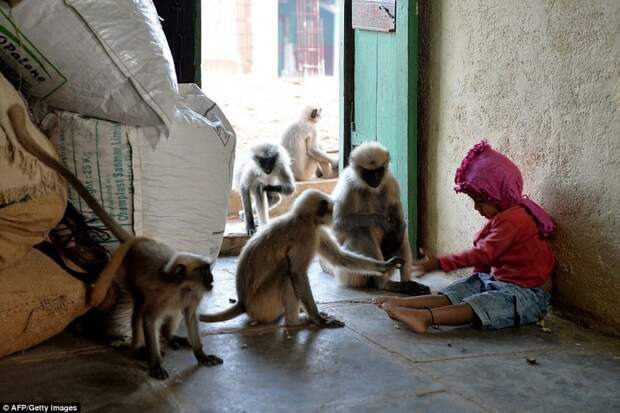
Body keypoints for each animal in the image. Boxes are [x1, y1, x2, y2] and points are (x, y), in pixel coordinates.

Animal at [7, 104, 223, 380]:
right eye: (205, 271)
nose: (211, 279)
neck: (182, 286)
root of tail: (135, 242)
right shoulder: (165, 293)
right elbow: (149, 318)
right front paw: (154, 362)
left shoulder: (190, 296)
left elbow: (190, 318)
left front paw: (201, 354)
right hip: (126, 276)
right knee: (139, 309)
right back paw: (138, 348)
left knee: (170, 315)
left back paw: (170, 338)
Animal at [199, 188, 402, 326]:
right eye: (330, 210)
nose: (334, 215)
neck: (302, 218)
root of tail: (243, 303)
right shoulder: (307, 234)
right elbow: (297, 272)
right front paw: (318, 319)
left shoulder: (316, 230)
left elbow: (339, 258)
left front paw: (386, 265)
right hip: (262, 305)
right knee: (286, 271)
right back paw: (295, 322)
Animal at [324, 142, 432, 296]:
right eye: (369, 173)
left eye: (379, 170)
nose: (375, 179)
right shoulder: (348, 185)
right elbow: (337, 225)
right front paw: (380, 221)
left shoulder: (390, 181)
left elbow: (397, 215)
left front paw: (397, 226)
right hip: (348, 274)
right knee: (361, 231)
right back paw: (384, 284)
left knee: (401, 235)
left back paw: (406, 283)